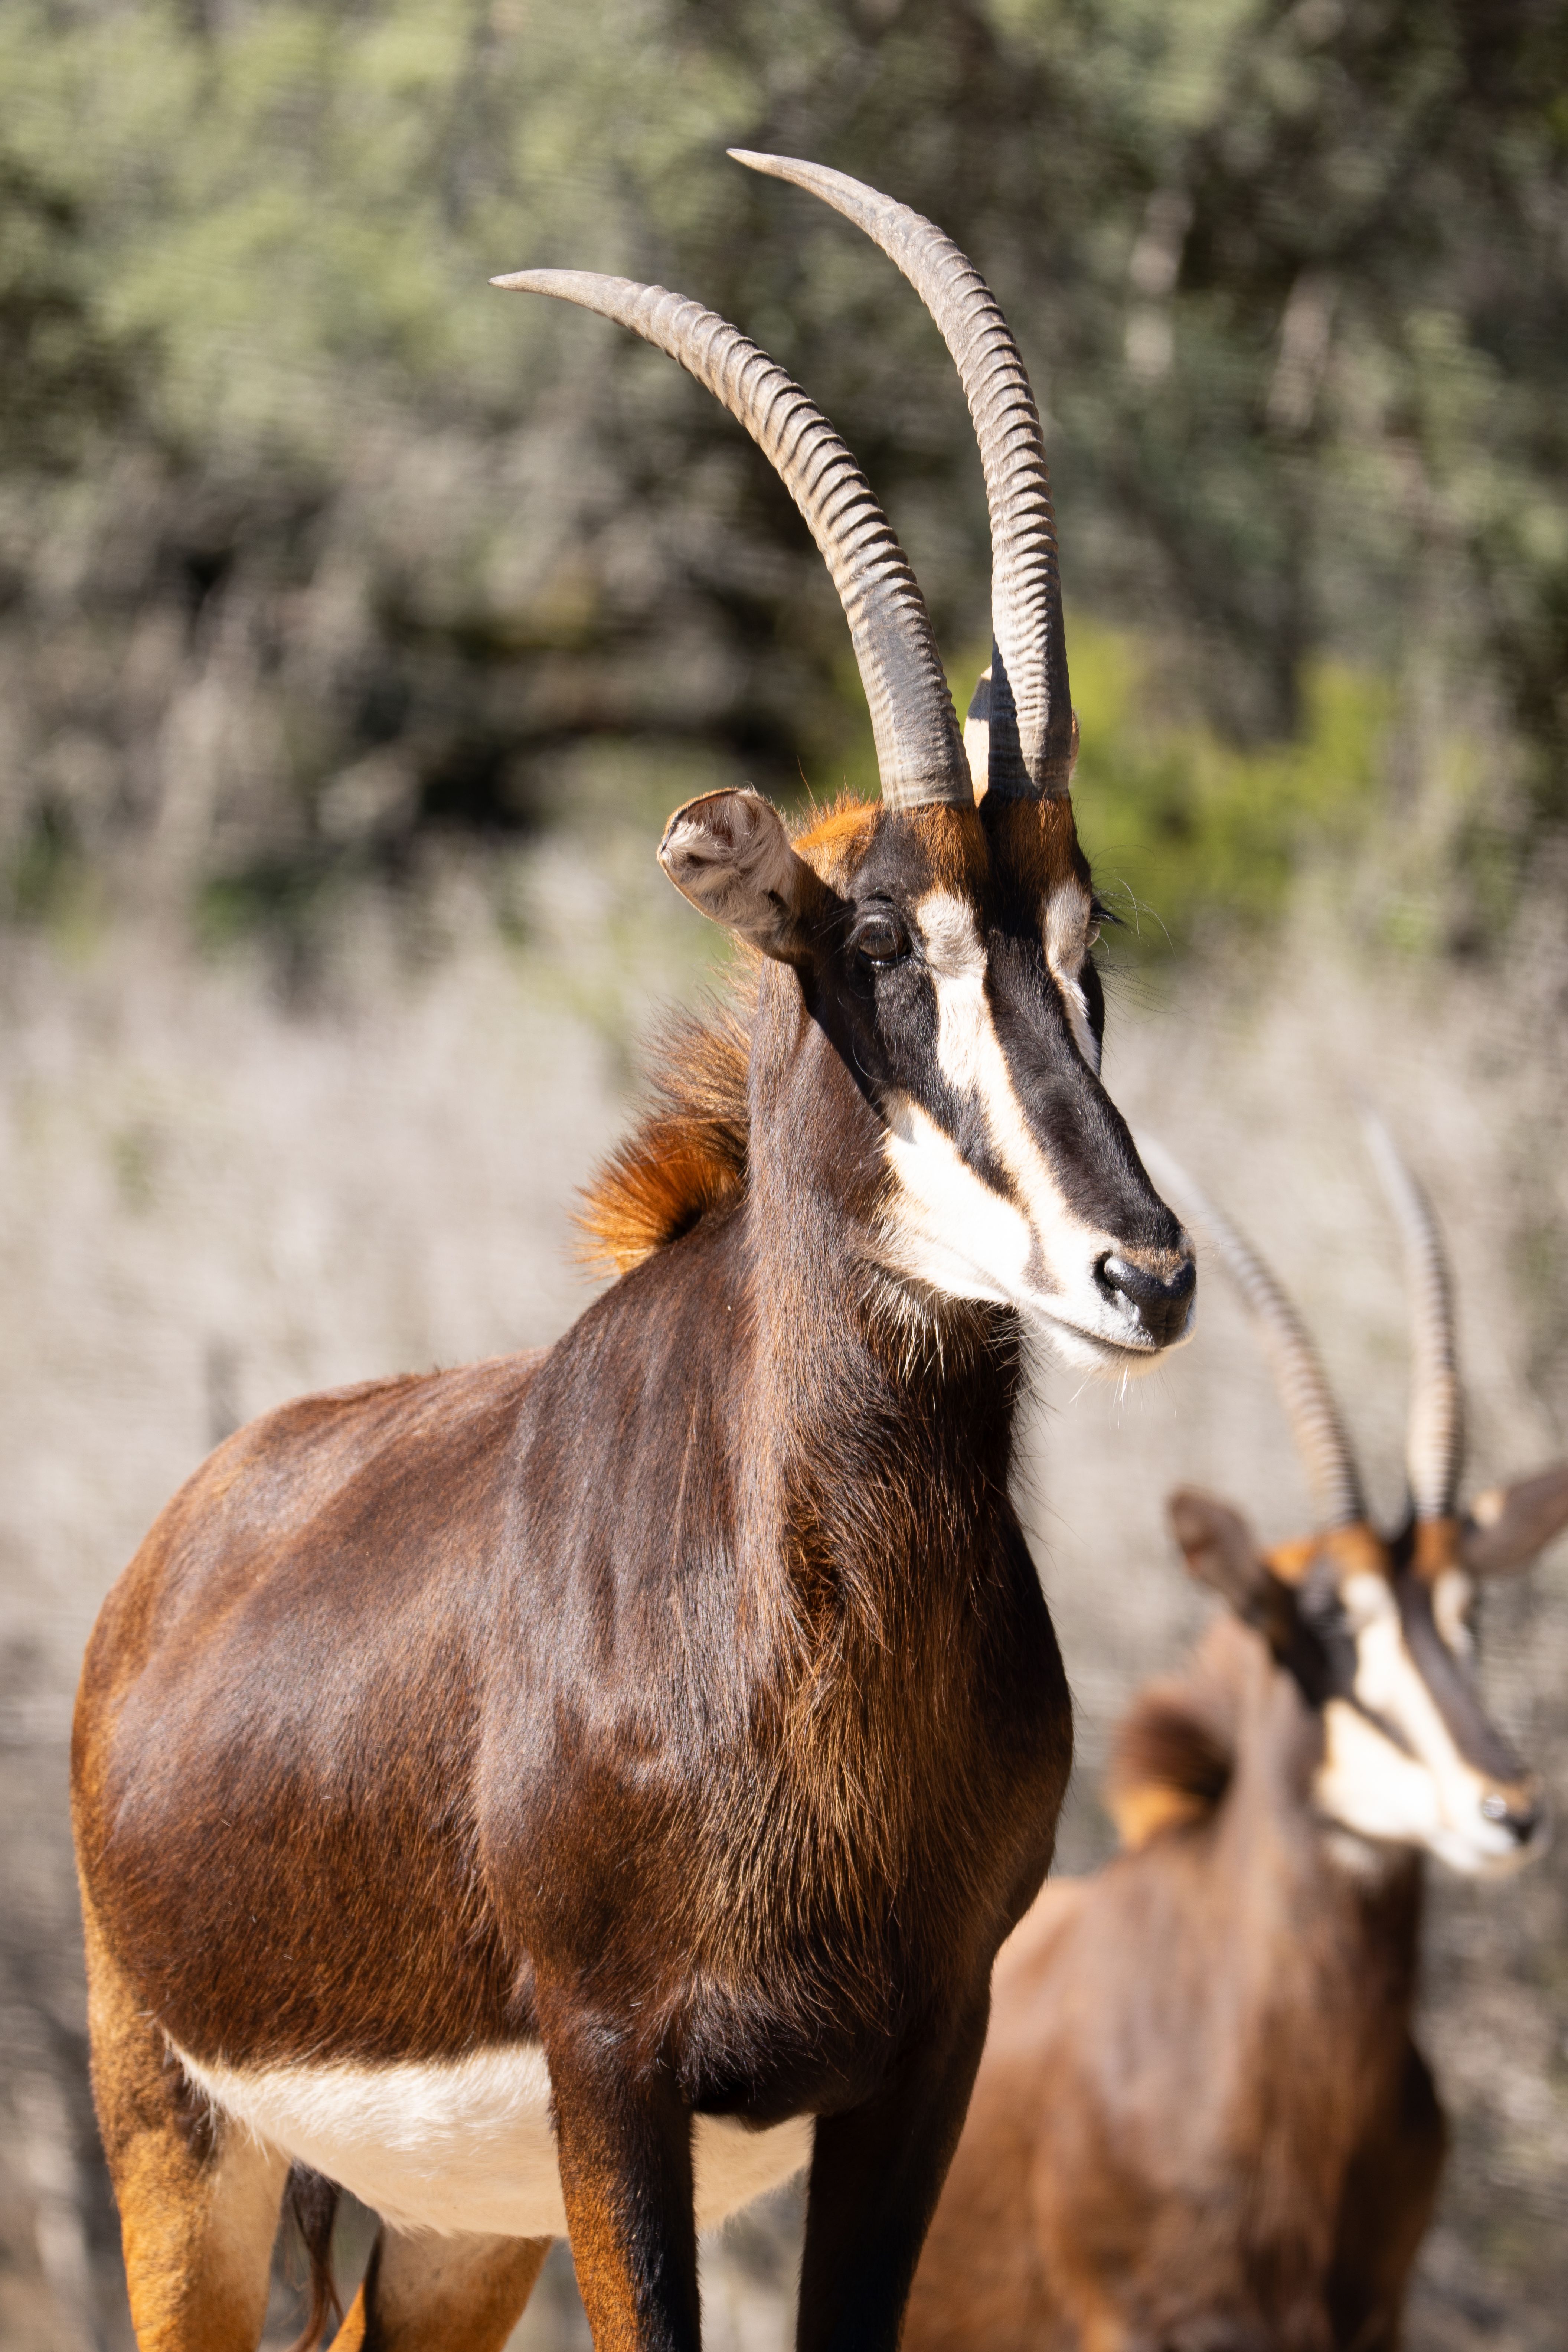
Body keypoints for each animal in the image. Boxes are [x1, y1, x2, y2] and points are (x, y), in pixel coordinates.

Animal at [71, 157, 1196, 2352]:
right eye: (878, 943)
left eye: (1085, 940)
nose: (1143, 1271)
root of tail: (168, 1557)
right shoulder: (618, 2073)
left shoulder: (923, 2059)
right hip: (183, 2137)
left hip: (450, 2231)